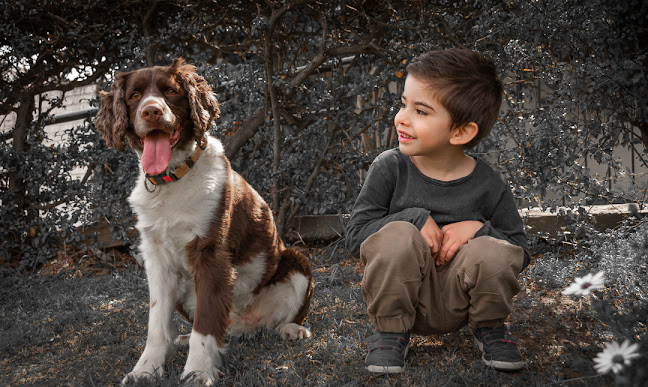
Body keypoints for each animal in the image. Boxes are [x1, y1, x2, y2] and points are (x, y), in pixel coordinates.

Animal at [95, 58, 316, 384]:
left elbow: (207, 321)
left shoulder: (210, 253)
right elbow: (156, 322)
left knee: (276, 319)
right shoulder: (156, 259)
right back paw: (185, 338)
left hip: (298, 261)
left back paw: (292, 329)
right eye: (134, 96)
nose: (151, 111)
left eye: (171, 91)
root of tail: (245, 322)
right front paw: (145, 370)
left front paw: (197, 371)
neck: (172, 179)